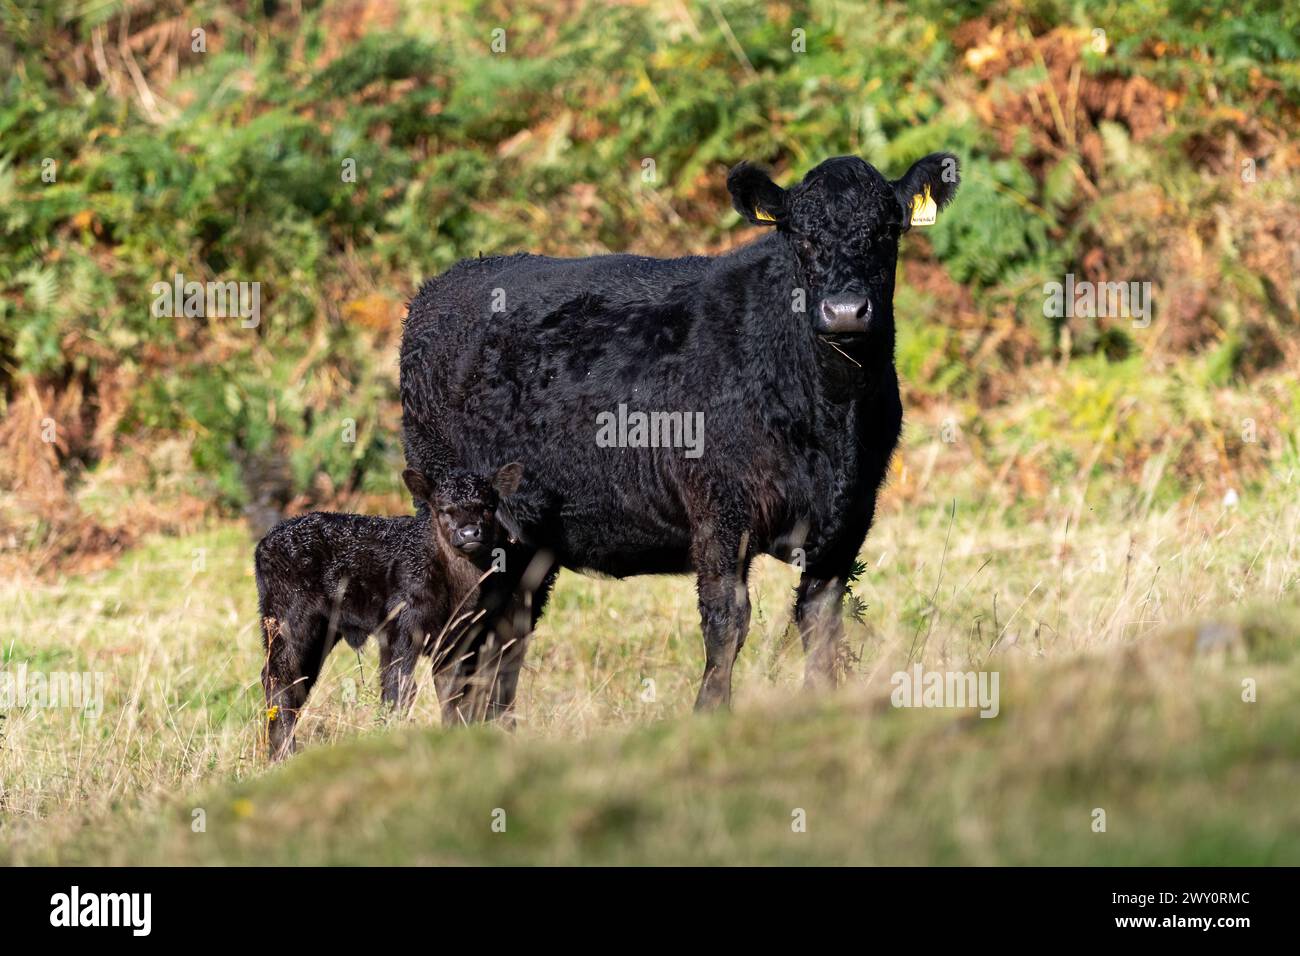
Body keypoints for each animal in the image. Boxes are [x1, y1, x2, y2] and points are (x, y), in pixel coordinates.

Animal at [399, 153, 960, 716]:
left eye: (887, 231)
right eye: (800, 235)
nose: (845, 311)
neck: (832, 418)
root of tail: (448, 281)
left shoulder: (850, 516)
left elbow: (820, 621)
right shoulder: (718, 507)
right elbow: (727, 621)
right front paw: (710, 713)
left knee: (505, 637)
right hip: (450, 512)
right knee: (457, 638)